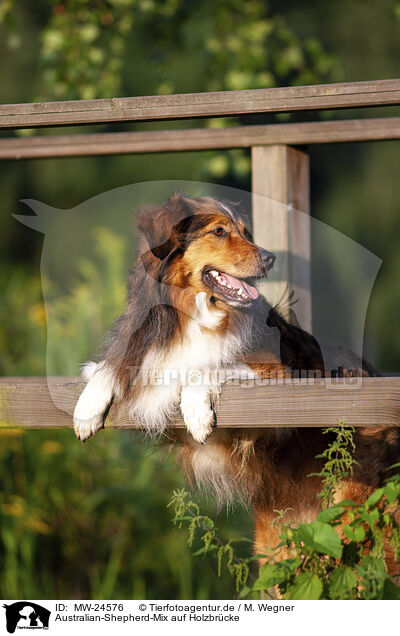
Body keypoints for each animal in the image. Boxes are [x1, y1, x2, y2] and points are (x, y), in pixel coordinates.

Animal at [72, 194, 400, 572]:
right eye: (219, 231)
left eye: (246, 232)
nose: (270, 258)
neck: (195, 315)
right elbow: (111, 368)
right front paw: (87, 408)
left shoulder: (276, 379)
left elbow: (208, 368)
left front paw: (196, 413)